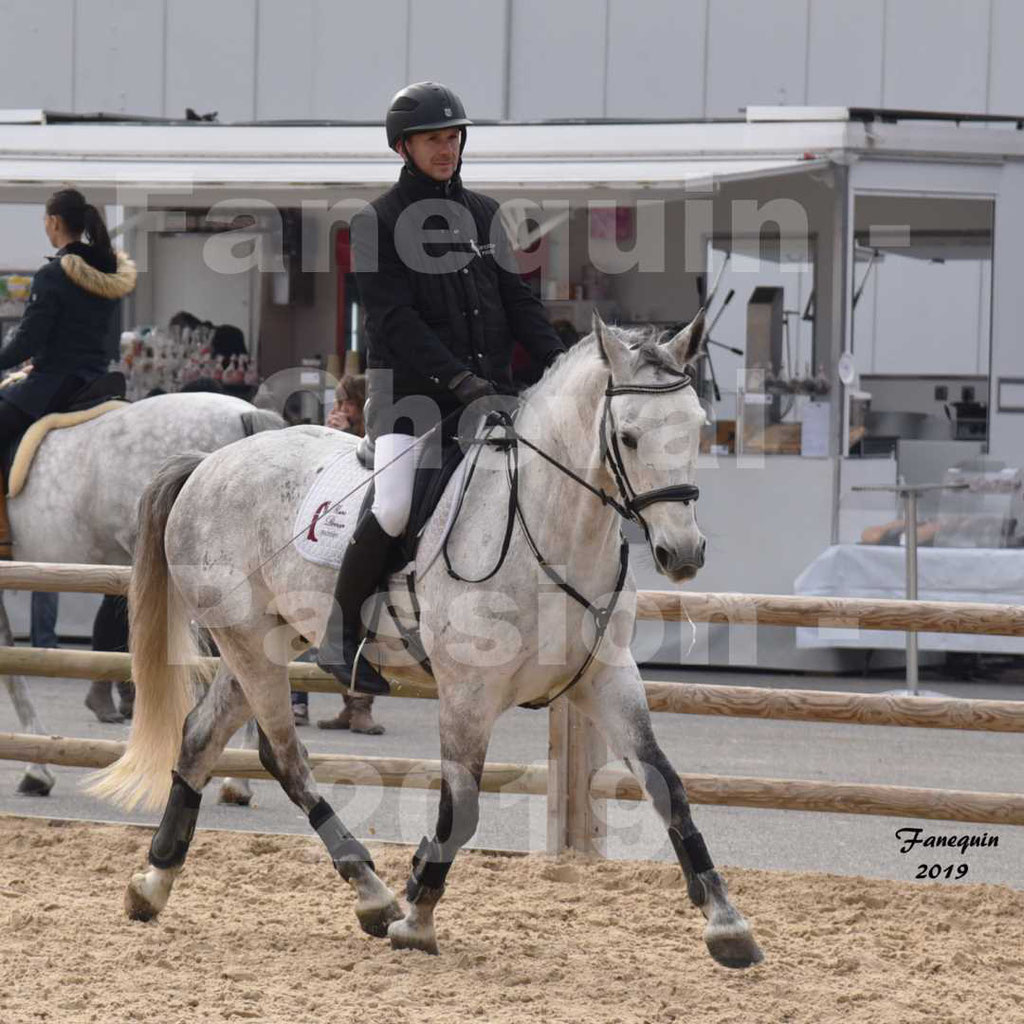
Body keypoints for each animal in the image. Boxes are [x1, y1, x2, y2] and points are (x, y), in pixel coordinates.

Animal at [90, 315, 761, 970]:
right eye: (628, 436)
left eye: (697, 429)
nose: (683, 554)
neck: (550, 531)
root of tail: (209, 462)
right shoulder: (468, 692)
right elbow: (459, 808)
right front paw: (417, 914)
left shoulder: (607, 677)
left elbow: (667, 786)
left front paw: (728, 925)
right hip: (249, 644)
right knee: (284, 756)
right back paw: (372, 893)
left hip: (263, 643)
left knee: (202, 739)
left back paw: (154, 882)